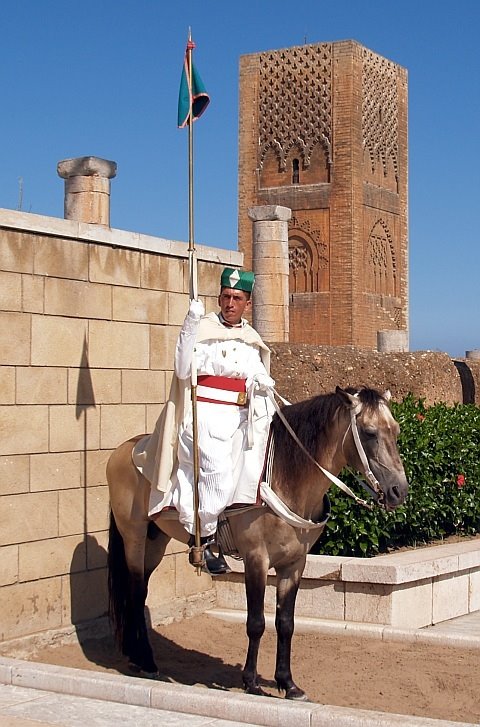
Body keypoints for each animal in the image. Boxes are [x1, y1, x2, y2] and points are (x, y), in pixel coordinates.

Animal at [108, 386, 408, 700]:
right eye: (369, 432)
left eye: (396, 430)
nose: (399, 491)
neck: (286, 477)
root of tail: (126, 449)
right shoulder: (256, 559)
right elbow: (256, 622)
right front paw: (251, 682)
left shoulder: (294, 564)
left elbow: (285, 623)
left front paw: (288, 683)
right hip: (134, 536)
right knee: (135, 590)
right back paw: (146, 661)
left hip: (156, 541)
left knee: (140, 591)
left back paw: (136, 655)